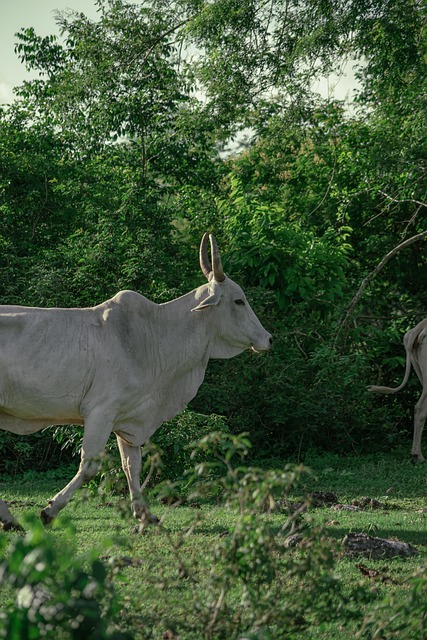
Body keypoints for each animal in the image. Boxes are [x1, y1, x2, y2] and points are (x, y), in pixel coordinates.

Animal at [0, 233, 272, 530]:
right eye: (238, 301)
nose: (268, 338)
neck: (152, 336)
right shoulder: (101, 411)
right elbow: (89, 467)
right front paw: (50, 510)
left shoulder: (128, 417)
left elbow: (132, 465)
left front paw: (144, 514)